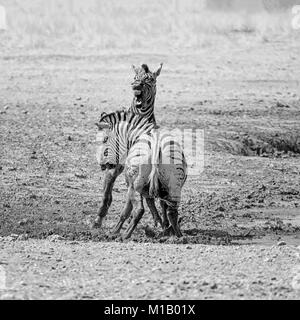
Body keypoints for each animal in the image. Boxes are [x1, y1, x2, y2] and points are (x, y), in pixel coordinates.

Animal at [94, 63, 164, 228]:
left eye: (150, 79)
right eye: (135, 77)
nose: (136, 86)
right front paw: (99, 219)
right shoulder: (116, 167)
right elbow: (107, 193)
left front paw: (158, 220)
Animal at [95, 110, 188, 238]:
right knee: (172, 212)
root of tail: (156, 146)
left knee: (139, 210)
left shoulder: (131, 185)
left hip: (134, 186)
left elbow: (127, 210)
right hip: (174, 187)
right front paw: (165, 228)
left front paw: (115, 231)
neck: (138, 134)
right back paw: (178, 236)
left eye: (105, 139)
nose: (103, 165)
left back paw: (125, 235)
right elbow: (160, 205)